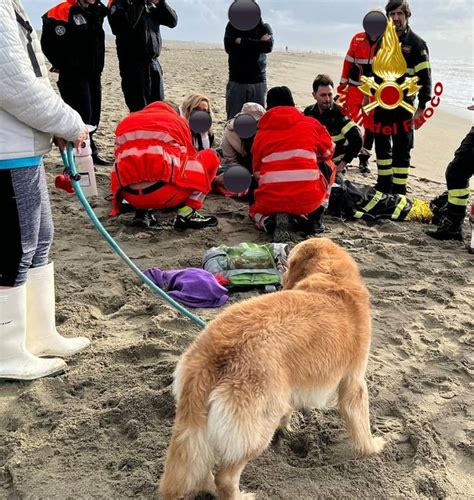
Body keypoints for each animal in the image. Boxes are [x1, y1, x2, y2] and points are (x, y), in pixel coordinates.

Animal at [159, 236, 386, 498]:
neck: (331, 279)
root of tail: (214, 353)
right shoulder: (354, 384)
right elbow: (362, 425)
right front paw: (371, 448)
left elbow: (288, 411)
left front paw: (287, 428)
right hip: (257, 429)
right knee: (224, 477)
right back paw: (240, 495)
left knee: (202, 470)